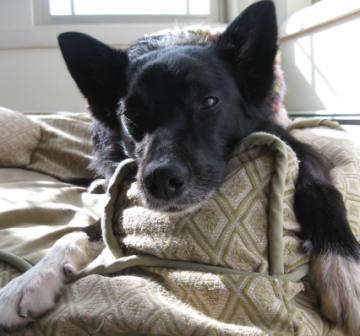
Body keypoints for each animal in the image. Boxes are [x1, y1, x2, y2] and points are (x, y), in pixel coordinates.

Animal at [0, 1, 360, 334]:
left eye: (209, 102)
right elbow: (82, 229)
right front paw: (31, 279)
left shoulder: (299, 147)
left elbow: (321, 189)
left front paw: (344, 264)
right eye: (130, 116)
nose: (161, 180)